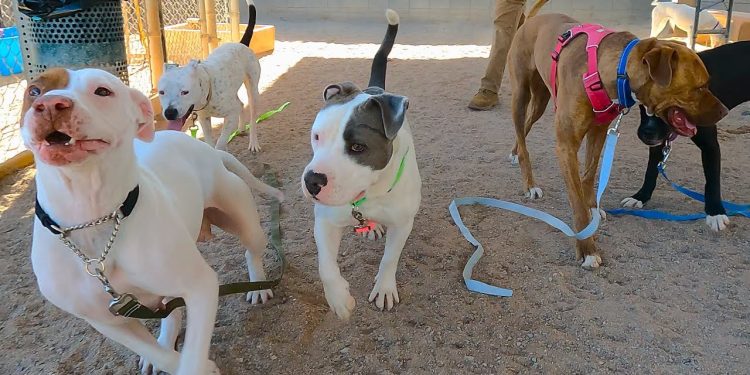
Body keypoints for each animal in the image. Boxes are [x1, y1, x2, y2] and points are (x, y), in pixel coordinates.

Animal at [23, 68, 284, 375]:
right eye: (34, 91)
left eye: (102, 91)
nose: (51, 105)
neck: (92, 218)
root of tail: (207, 150)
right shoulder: (108, 319)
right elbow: (158, 352)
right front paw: (180, 360)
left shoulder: (201, 286)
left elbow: (192, 354)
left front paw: (197, 365)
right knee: (171, 315)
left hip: (244, 222)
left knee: (251, 251)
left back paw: (259, 284)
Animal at [159, 1, 264, 153]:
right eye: (161, 92)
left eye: (185, 92)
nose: (170, 113)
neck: (208, 89)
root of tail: (241, 43)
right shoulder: (204, 119)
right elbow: (210, 143)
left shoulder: (231, 116)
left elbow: (220, 143)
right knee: (240, 104)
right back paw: (241, 128)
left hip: (253, 90)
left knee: (253, 117)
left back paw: (253, 142)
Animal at [304, 9, 426, 320]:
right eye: (317, 136)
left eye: (358, 147)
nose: (312, 181)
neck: (370, 194)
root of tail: (374, 89)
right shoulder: (325, 221)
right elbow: (325, 266)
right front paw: (338, 298)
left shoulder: (403, 224)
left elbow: (389, 258)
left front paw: (384, 288)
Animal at [506, 0, 728, 270]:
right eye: (700, 86)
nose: (725, 111)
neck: (613, 71)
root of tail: (530, 21)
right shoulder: (567, 144)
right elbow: (576, 201)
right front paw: (587, 247)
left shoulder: (599, 132)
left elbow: (589, 177)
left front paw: (593, 209)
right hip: (521, 94)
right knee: (521, 131)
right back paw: (529, 183)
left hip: (540, 100)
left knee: (525, 128)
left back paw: (515, 153)